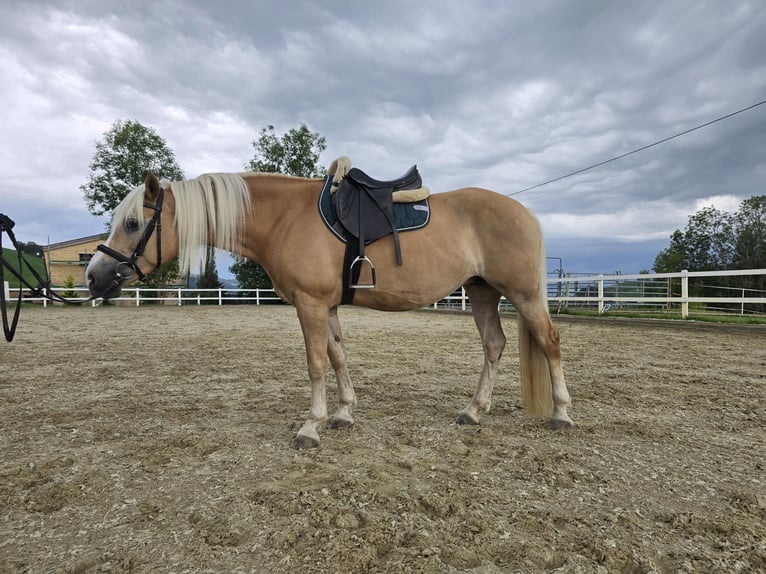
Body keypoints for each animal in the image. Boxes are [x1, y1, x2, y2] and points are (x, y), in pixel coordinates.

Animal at [87, 169, 572, 448]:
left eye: (133, 223)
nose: (93, 277)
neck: (283, 217)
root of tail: (524, 212)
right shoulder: (329, 306)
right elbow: (338, 356)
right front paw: (343, 414)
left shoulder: (310, 304)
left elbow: (316, 362)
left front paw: (311, 426)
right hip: (483, 293)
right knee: (494, 345)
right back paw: (473, 410)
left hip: (523, 294)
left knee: (549, 342)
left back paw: (561, 414)